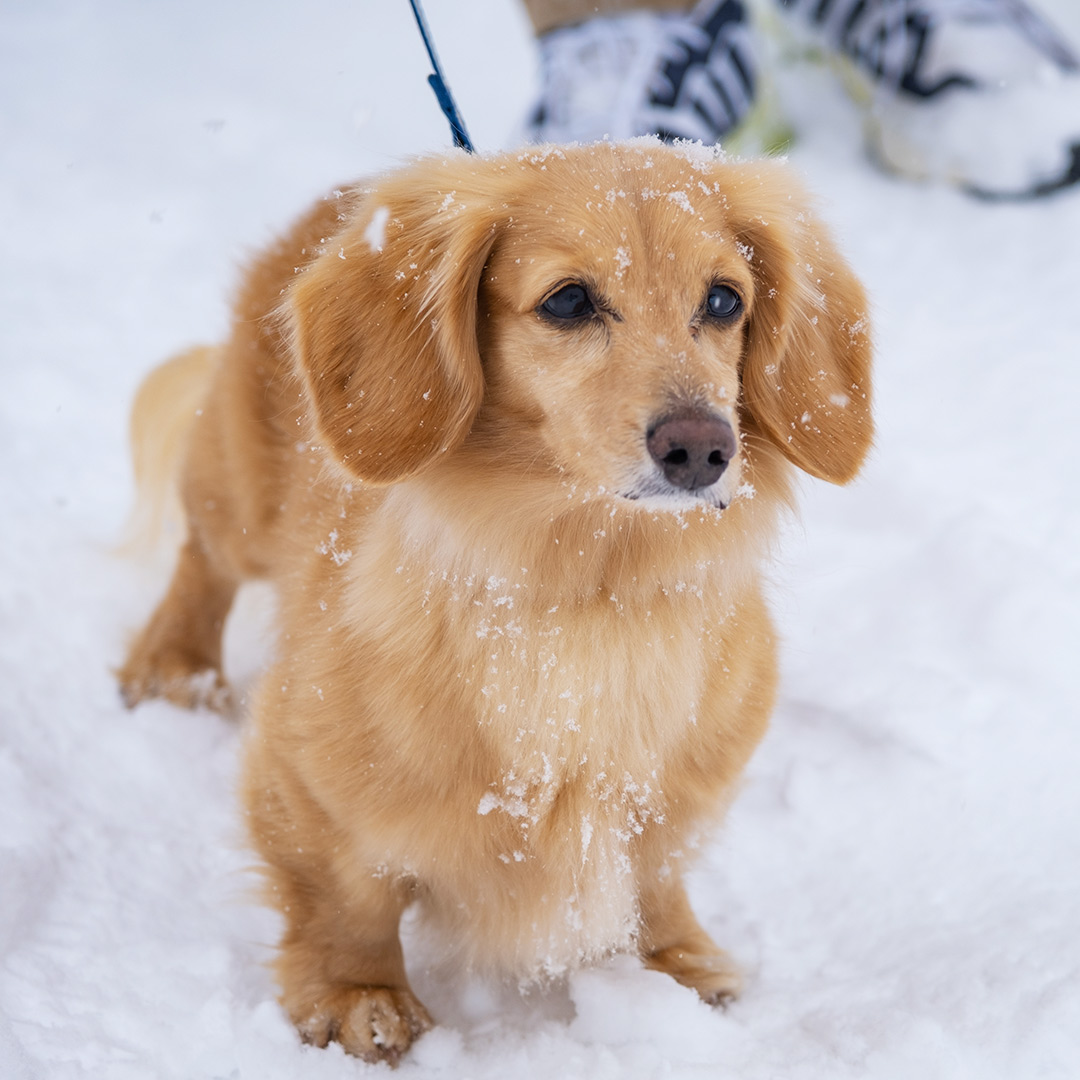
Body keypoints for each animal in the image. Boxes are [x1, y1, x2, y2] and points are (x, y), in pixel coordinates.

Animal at [118, 141, 872, 1062]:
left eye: (725, 299)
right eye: (570, 300)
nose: (701, 448)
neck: (589, 588)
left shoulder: (677, 798)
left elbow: (655, 877)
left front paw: (675, 967)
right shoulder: (306, 776)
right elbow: (344, 898)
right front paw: (359, 994)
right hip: (238, 500)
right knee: (203, 561)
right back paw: (173, 666)